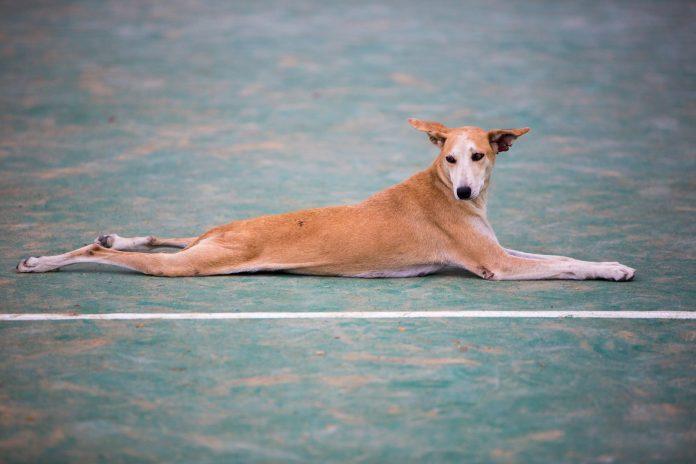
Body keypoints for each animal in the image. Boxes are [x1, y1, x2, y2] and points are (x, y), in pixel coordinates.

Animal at [14, 118, 636, 280]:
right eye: (450, 158)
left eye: (479, 156)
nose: (464, 189)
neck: (440, 187)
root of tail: (220, 233)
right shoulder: (496, 266)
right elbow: (568, 267)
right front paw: (610, 269)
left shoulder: (501, 252)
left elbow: (564, 257)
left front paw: (612, 262)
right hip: (196, 263)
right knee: (106, 255)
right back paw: (45, 261)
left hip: (201, 245)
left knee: (149, 238)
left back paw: (115, 235)